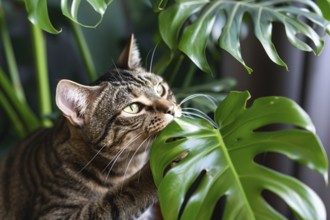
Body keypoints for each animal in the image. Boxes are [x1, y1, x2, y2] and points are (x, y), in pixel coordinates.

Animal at [0, 35, 180, 219]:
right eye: (133, 108)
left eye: (159, 89)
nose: (171, 109)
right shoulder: (54, 213)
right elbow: (117, 200)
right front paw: (157, 170)